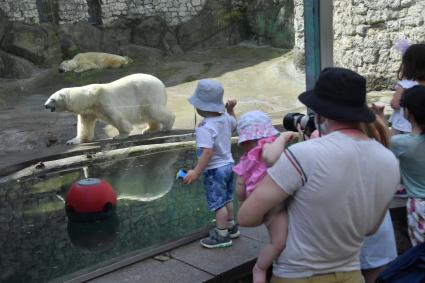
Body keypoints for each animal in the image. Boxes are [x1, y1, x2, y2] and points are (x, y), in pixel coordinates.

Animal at [44, 74, 175, 144]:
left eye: (52, 99)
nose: (45, 105)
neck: (88, 97)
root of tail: (161, 84)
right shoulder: (88, 111)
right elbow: (85, 125)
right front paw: (73, 141)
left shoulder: (102, 101)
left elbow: (116, 118)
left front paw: (120, 135)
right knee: (149, 114)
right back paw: (149, 129)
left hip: (148, 93)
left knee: (153, 110)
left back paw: (167, 126)